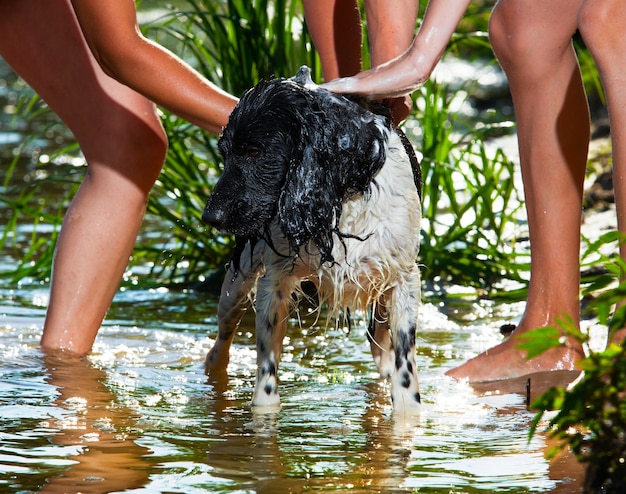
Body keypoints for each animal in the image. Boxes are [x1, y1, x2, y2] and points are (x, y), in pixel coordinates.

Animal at [202, 65, 422, 412]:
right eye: (224, 153)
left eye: (254, 151)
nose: (210, 217)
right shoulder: (274, 282)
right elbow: (266, 374)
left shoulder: (402, 279)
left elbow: (404, 372)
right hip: (236, 286)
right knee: (221, 340)